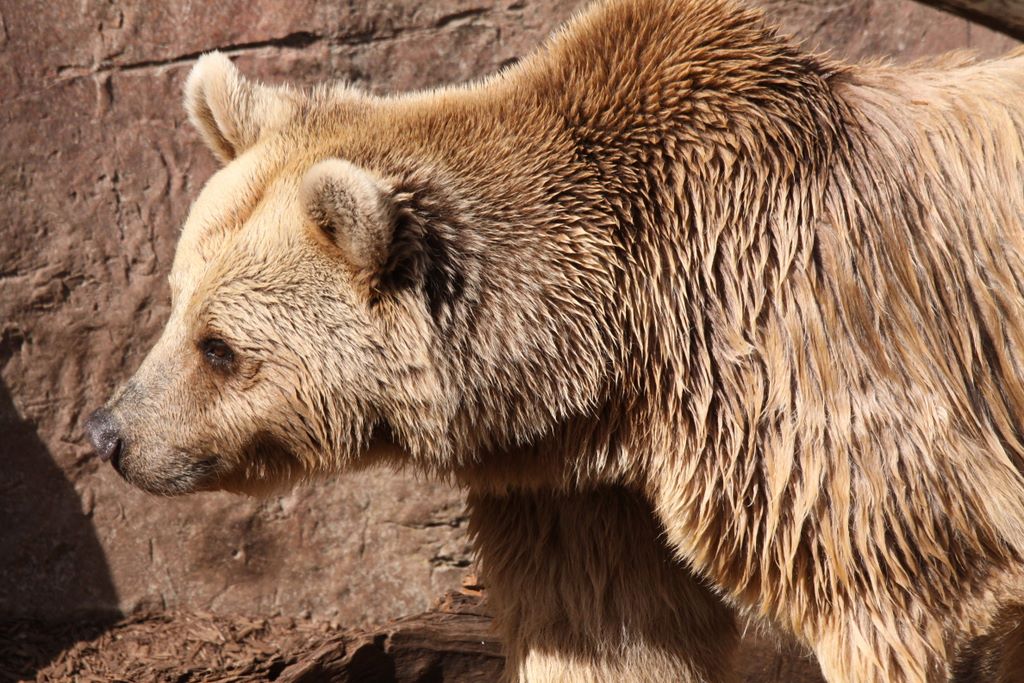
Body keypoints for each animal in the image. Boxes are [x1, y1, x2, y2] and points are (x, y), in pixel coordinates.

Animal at [85, 0, 1024, 680]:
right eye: (174, 300)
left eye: (220, 346)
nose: (109, 431)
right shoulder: (581, 485)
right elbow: (608, 629)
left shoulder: (811, 356)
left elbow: (903, 584)